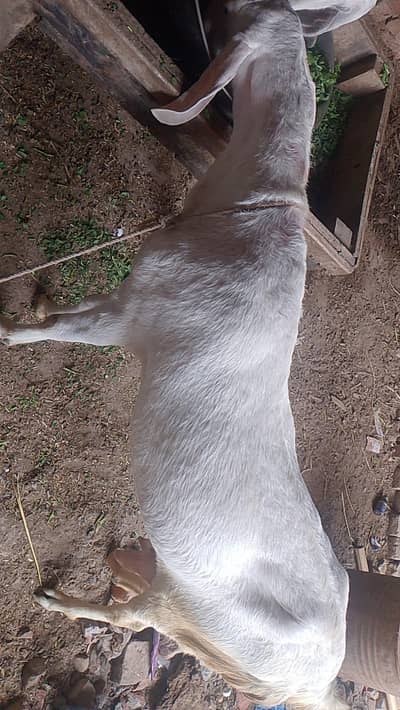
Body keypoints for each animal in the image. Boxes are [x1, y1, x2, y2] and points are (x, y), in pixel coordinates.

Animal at [0, 1, 370, 706]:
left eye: (240, 16)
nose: (211, 10)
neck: (249, 207)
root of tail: (316, 677)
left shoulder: (136, 312)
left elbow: (65, 331)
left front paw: (8, 331)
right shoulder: (132, 295)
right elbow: (61, 315)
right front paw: (32, 304)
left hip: (194, 606)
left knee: (137, 616)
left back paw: (56, 598)